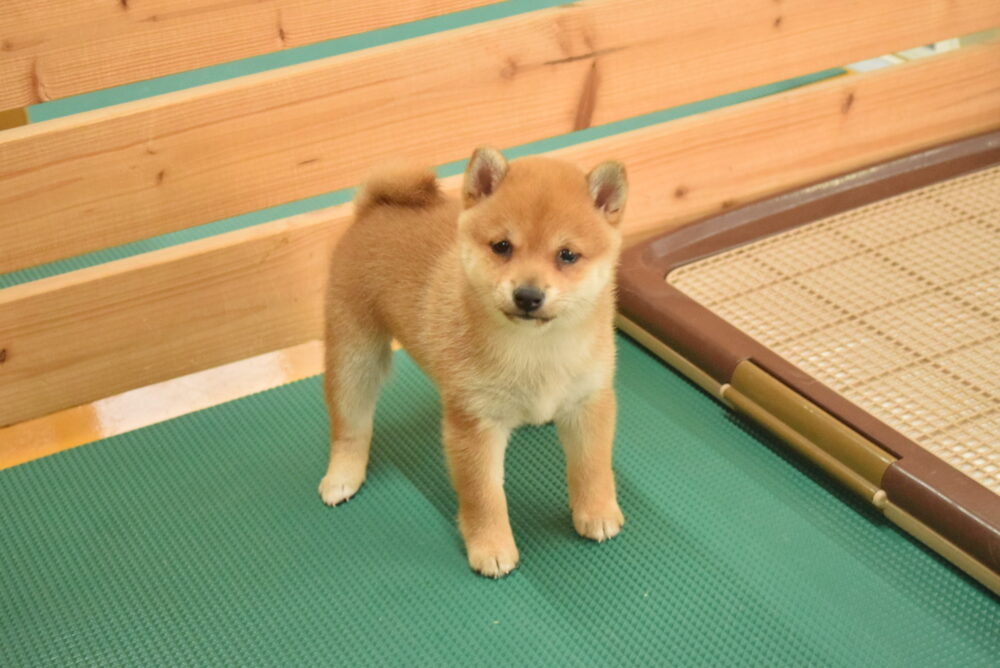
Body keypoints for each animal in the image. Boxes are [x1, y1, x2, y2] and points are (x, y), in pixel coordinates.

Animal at [320, 147, 627, 577]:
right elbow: (484, 496)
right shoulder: (474, 425)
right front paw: (491, 546)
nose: (527, 295)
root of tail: (374, 207)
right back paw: (343, 475)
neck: (536, 349)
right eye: (502, 246)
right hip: (355, 357)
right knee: (351, 427)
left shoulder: (588, 402)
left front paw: (596, 511)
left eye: (567, 255)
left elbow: (592, 467)